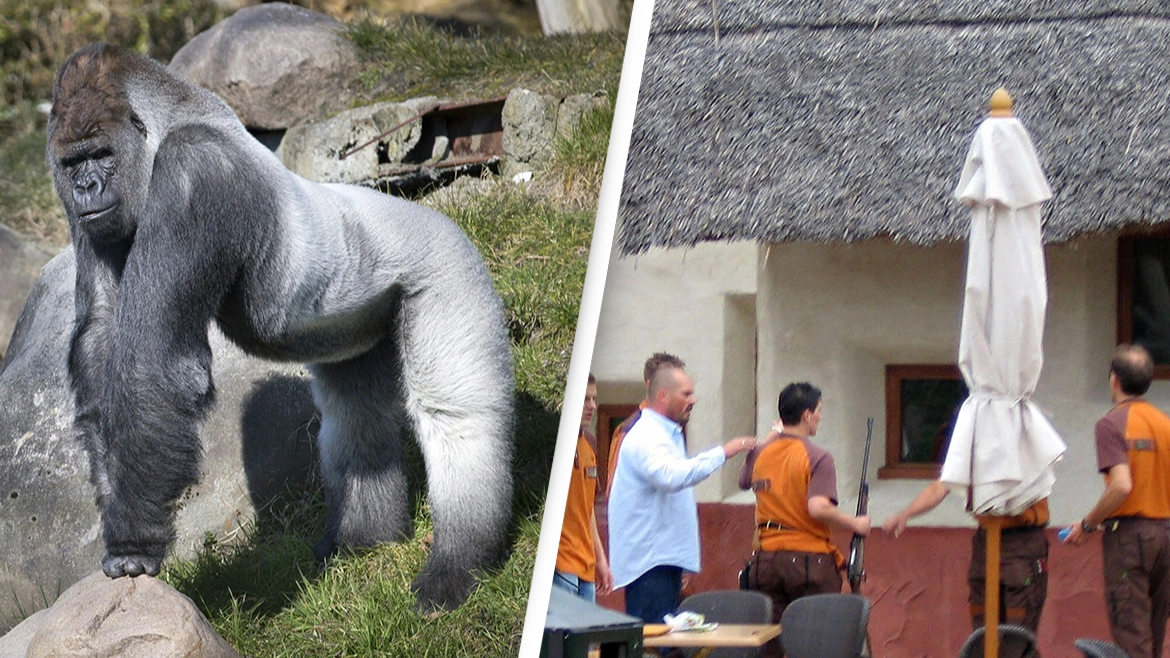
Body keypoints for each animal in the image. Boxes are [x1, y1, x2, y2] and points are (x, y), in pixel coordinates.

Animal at [46, 43, 514, 611]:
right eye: (72, 163)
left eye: (101, 155)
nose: (85, 187)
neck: (169, 120)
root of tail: (446, 220)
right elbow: (100, 334)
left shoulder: (194, 172)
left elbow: (153, 365)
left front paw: (133, 542)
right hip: (360, 324)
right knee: (354, 414)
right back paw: (364, 538)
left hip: (450, 269)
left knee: (455, 416)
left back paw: (458, 563)